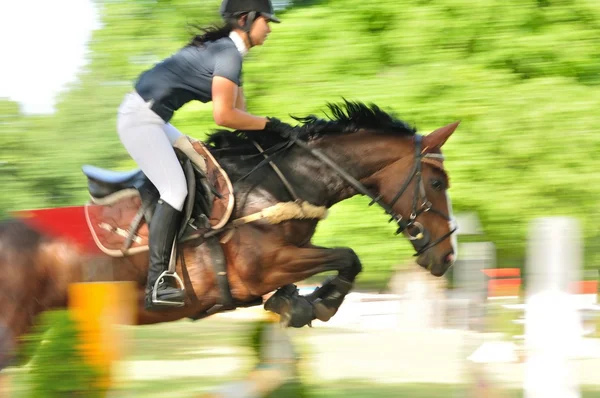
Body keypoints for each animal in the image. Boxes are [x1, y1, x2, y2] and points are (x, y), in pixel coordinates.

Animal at [0, 99, 460, 370]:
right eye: (438, 183)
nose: (446, 256)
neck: (278, 187)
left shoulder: (285, 259)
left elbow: (334, 265)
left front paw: (297, 304)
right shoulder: (262, 267)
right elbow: (348, 255)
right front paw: (321, 304)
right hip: (13, 326)